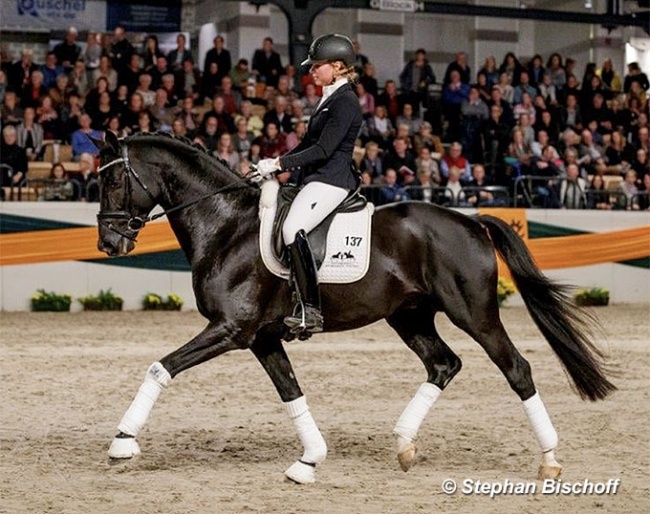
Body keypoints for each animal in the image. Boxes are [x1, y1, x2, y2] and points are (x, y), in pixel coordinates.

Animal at [95, 131, 612, 480]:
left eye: (116, 179)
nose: (108, 243)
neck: (227, 225)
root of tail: (470, 222)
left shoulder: (231, 329)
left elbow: (161, 368)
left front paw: (123, 443)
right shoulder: (261, 338)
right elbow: (291, 393)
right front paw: (309, 460)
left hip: (475, 315)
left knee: (516, 369)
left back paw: (549, 461)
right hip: (409, 317)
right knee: (444, 364)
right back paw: (404, 445)